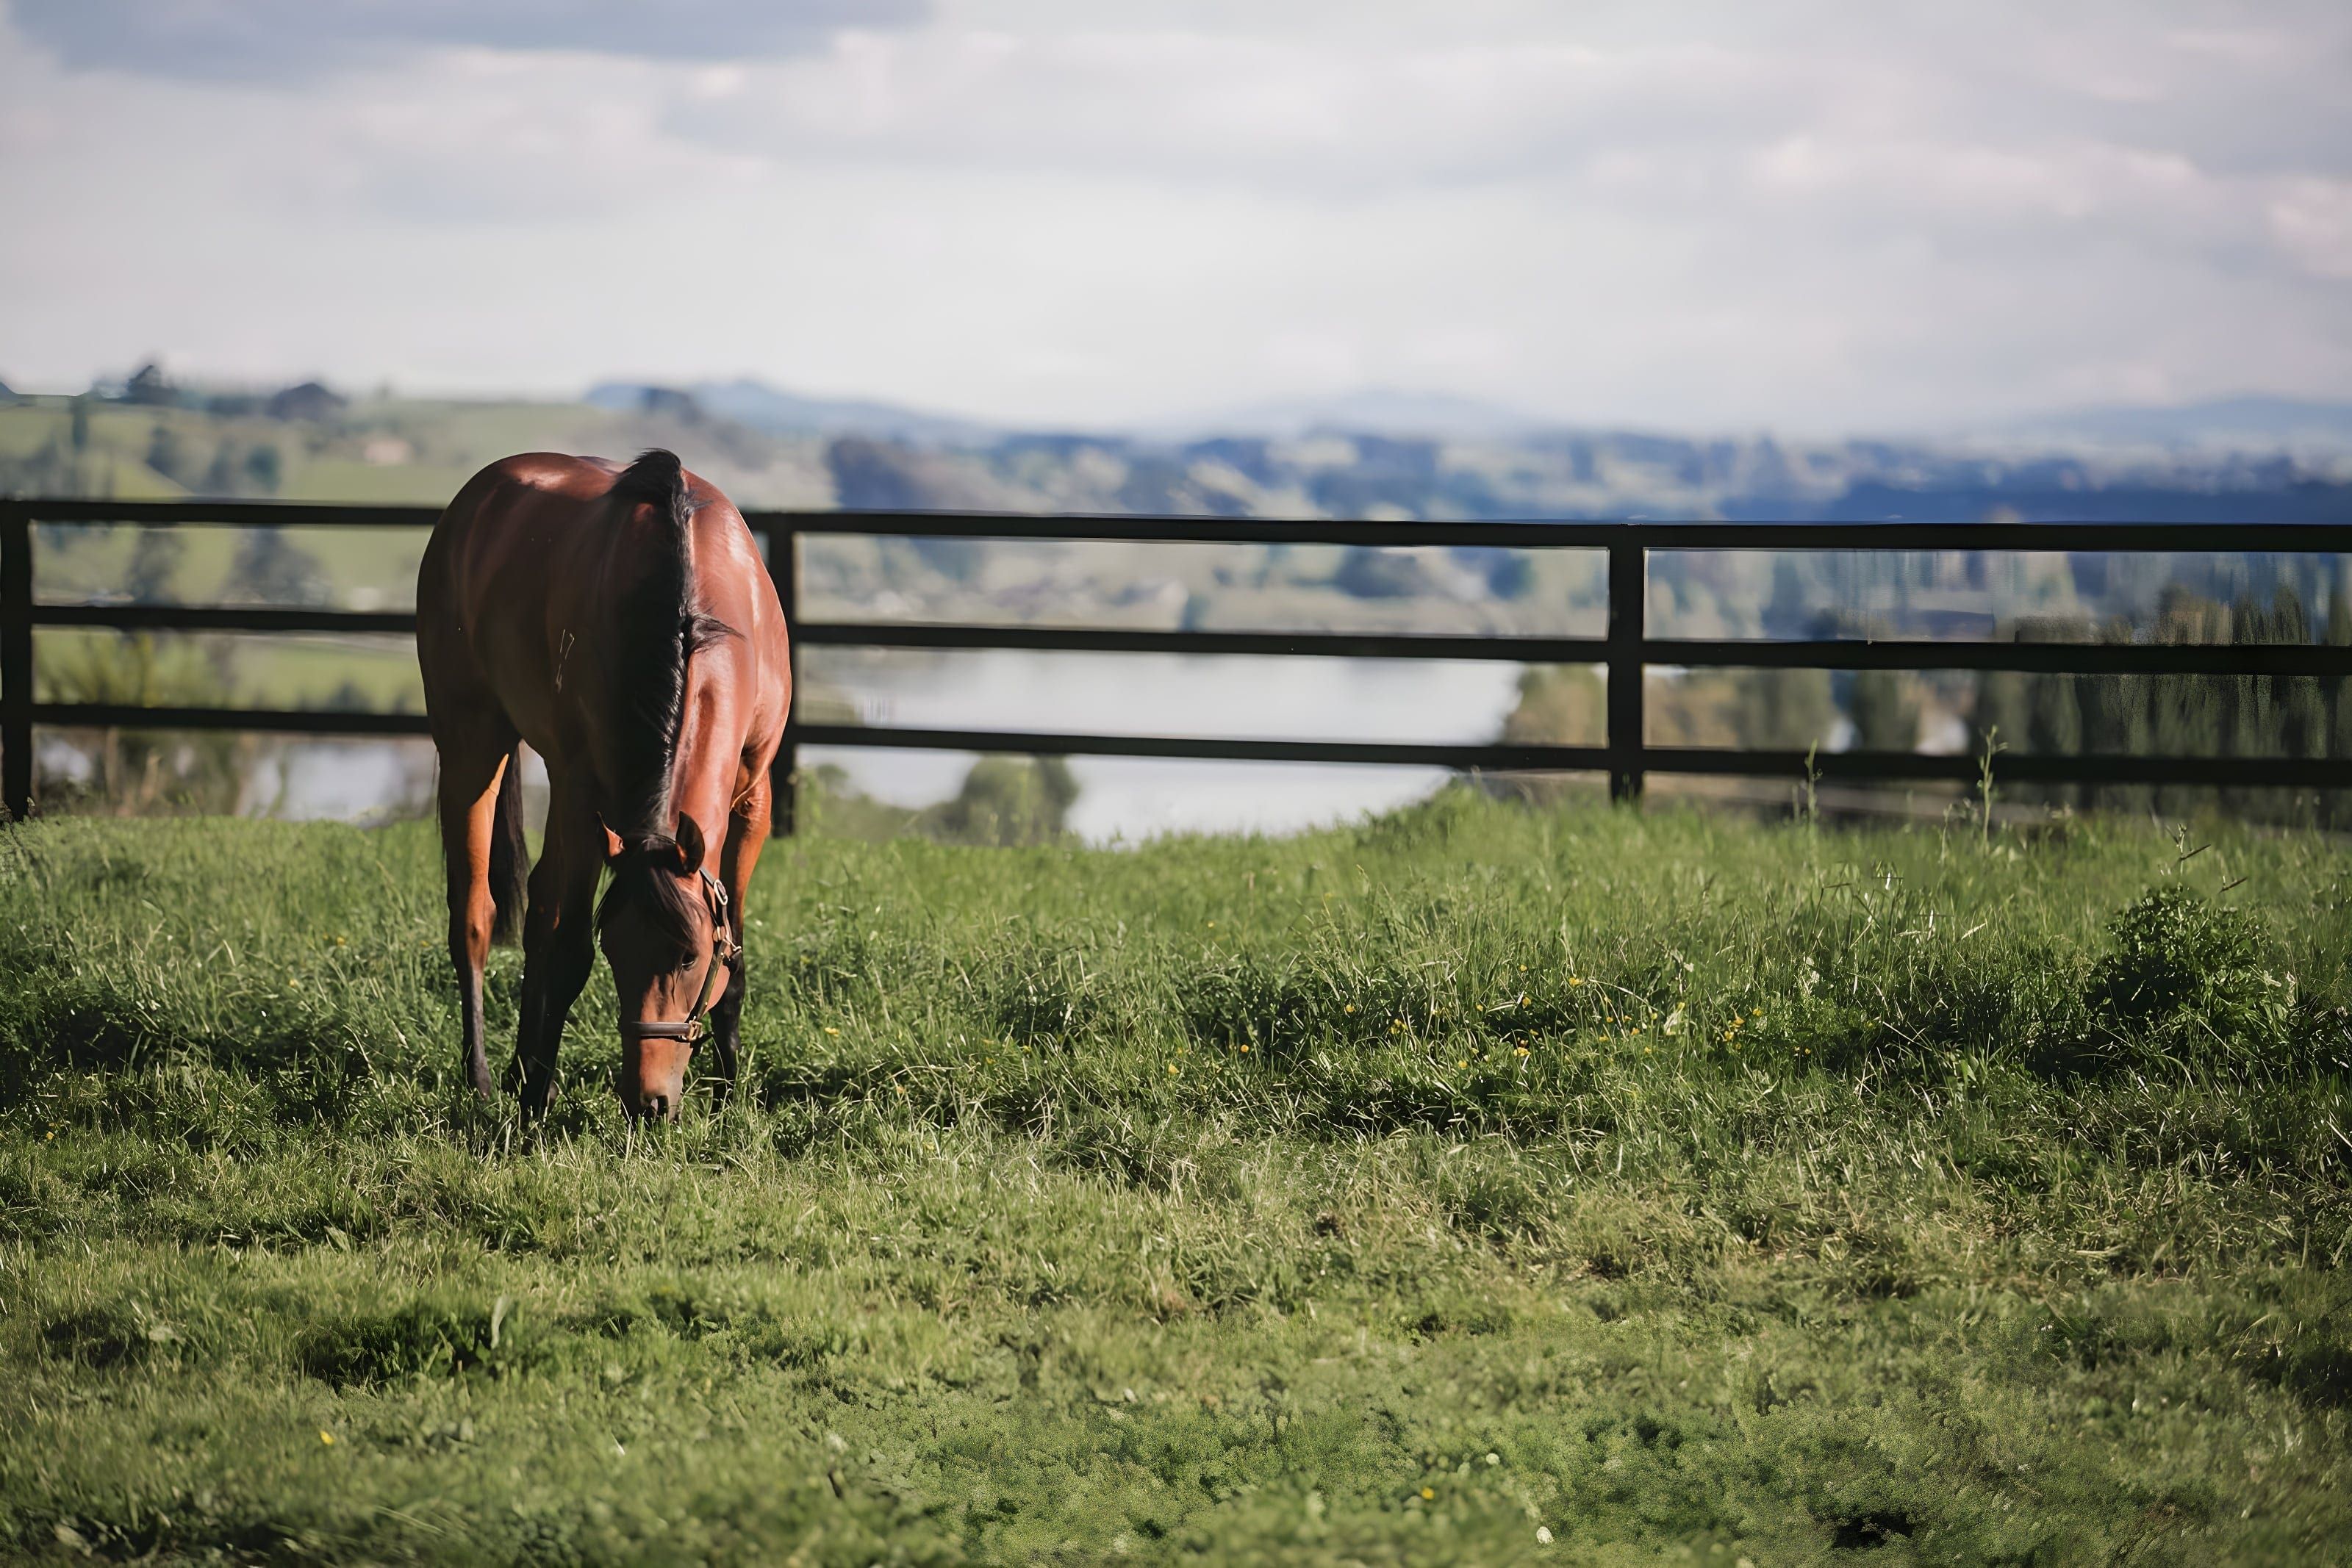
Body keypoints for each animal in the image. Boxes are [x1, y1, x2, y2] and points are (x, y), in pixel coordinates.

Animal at [416, 449, 790, 1121]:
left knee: (537, 905)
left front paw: (729, 1093)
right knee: (477, 918)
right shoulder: (583, 792)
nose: (649, 1101)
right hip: (472, 748)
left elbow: (738, 955)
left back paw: (519, 1065)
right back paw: (486, 1075)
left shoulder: (753, 796)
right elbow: (568, 950)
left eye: (690, 955)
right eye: (615, 950)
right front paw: (534, 1104)